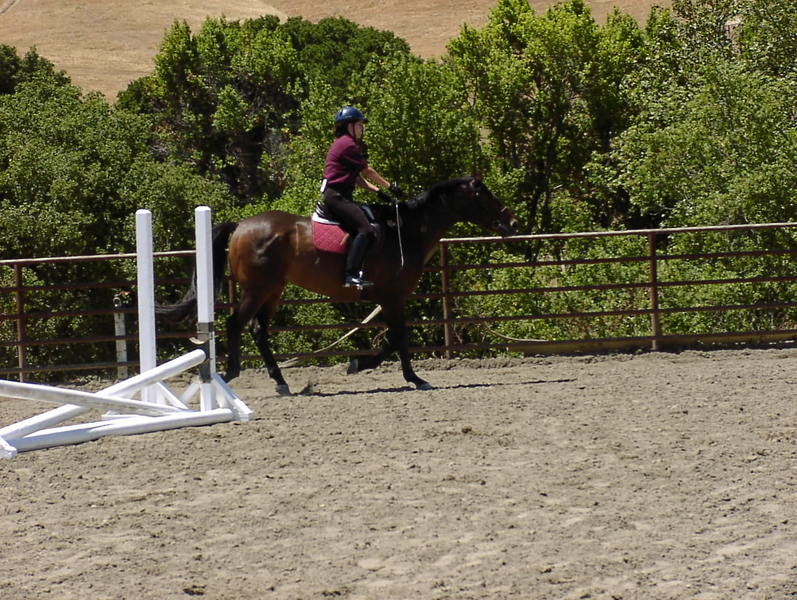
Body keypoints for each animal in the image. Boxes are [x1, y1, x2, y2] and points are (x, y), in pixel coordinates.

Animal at [157, 174, 518, 394]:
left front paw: (365, 365)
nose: (512, 222)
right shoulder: (392, 297)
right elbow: (398, 338)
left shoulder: (389, 299)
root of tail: (242, 225)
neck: (407, 231)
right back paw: (231, 373)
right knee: (235, 324)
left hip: (273, 289)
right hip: (258, 289)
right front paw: (407, 376)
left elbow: (394, 339)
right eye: (484, 195)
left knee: (259, 331)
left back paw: (281, 382)